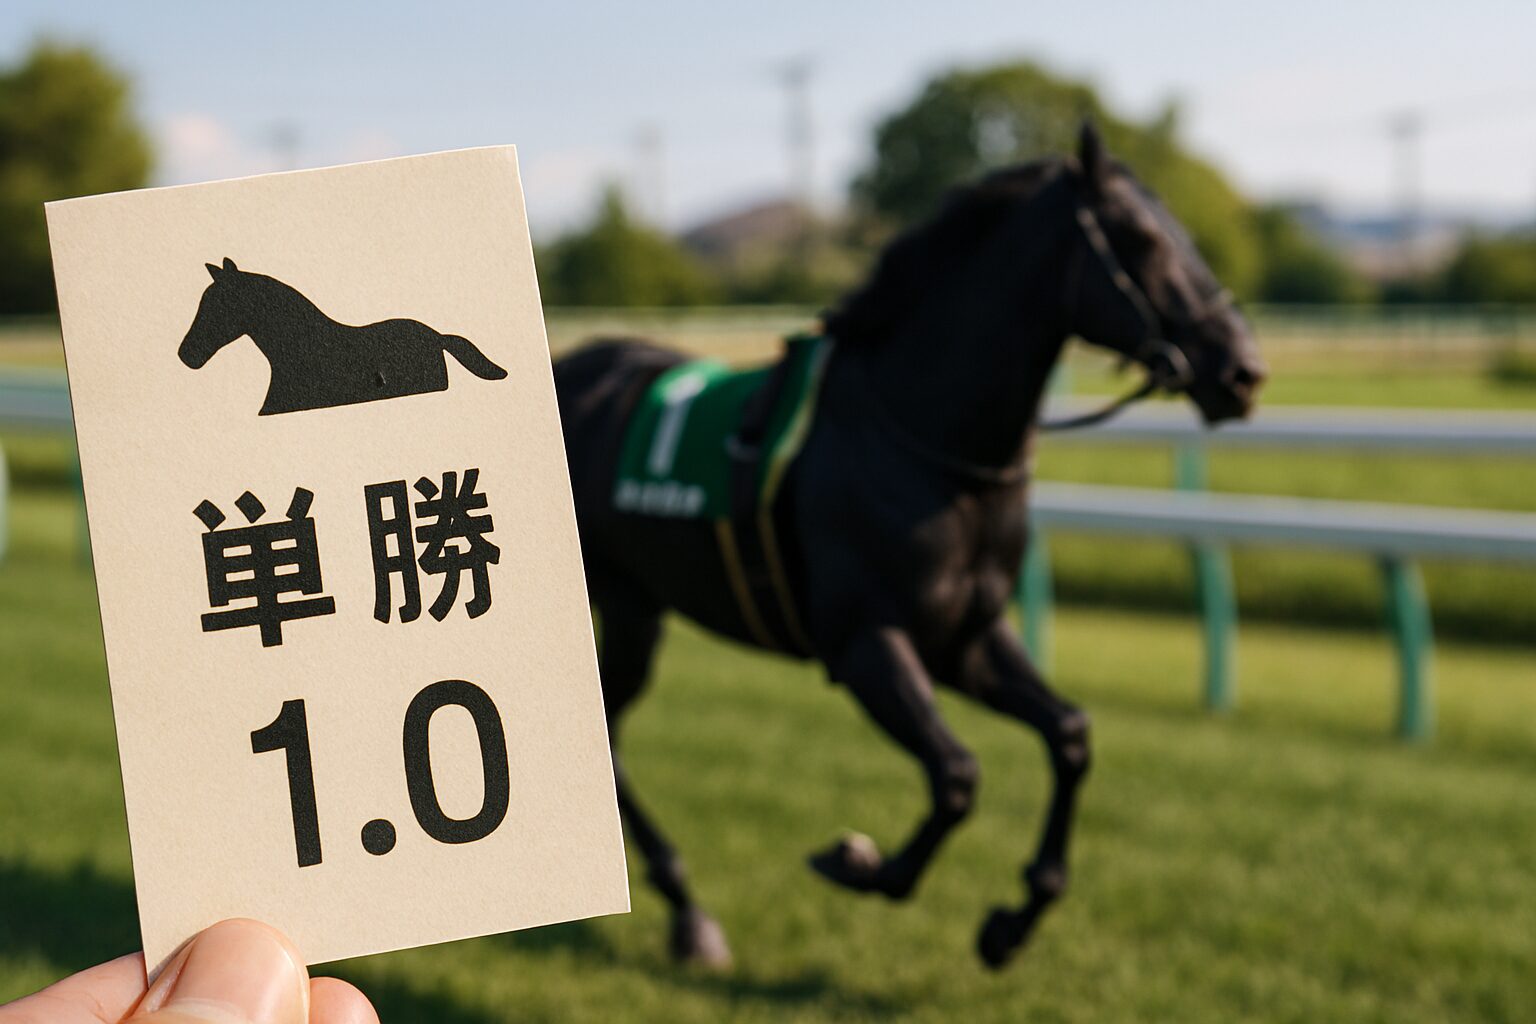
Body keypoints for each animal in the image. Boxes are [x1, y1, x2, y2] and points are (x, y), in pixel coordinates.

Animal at [554, 124, 1266, 970]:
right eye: (1141, 239)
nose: (1243, 371)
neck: (927, 443)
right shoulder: (867, 641)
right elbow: (956, 774)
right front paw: (859, 863)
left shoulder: (966, 635)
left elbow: (1069, 735)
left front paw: (1013, 920)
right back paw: (683, 908)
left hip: (636, 604)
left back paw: (687, 912)